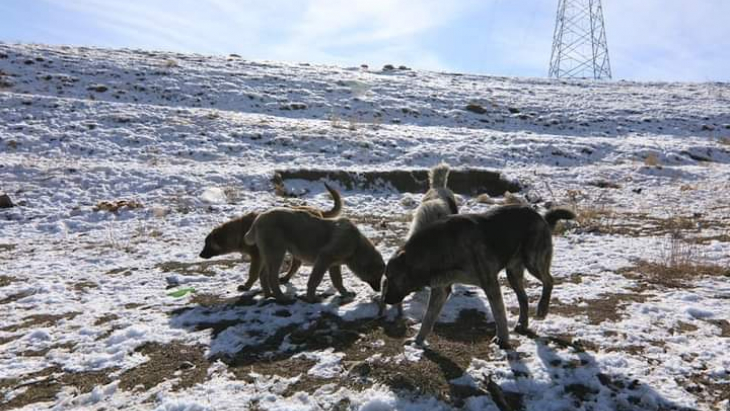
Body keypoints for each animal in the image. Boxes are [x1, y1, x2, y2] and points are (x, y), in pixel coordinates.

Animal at [195, 182, 340, 292]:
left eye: (207, 244)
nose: (200, 255)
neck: (240, 231)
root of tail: (318, 211)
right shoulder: (264, 255)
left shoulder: (257, 256)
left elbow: (253, 273)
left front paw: (247, 286)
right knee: (296, 263)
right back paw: (286, 278)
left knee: (297, 263)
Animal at [242, 209, 384, 302]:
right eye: (377, 276)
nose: (378, 290)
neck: (356, 246)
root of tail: (258, 219)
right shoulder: (324, 259)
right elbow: (315, 280)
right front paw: (311, 298)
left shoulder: (333, 265)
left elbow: (338, 281)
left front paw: (345, 293)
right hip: (277, 254)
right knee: (272, 277)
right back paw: (281, 297)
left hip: (268, 255)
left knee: (263, 275)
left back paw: (269, 295)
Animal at [382, 204, 576, 350]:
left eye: (391, 277)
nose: (384, 300)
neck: (436, 250)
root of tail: (541, 217)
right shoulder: (440, 290)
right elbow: (427, 320)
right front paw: (418, 341)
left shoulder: (490, 284)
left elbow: (499, 315)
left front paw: (503, 340)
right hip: (513, 273)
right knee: (524, 298)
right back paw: (523, 323)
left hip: (533, 262)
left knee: (549, 280)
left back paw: (542, 308)